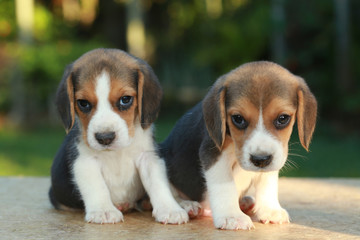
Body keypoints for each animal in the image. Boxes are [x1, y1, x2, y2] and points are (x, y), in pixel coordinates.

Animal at [49, 48, 190, 225]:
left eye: (125, 99)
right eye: (83, 103)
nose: (105, 137)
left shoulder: (148, 157)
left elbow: (158, 184)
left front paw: (170, 209)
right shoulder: (84, 161)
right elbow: (97, 186)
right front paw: (103, 210)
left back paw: (185, 203)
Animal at [161, 61, 318, 230]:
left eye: (283, 118)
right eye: (238, 118)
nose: (260, 159)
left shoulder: (276, 155)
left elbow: (268, 182)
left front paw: (270, 209)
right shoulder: (213, 155)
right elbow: (225, 184)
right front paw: (232, 216)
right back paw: (187, 205)